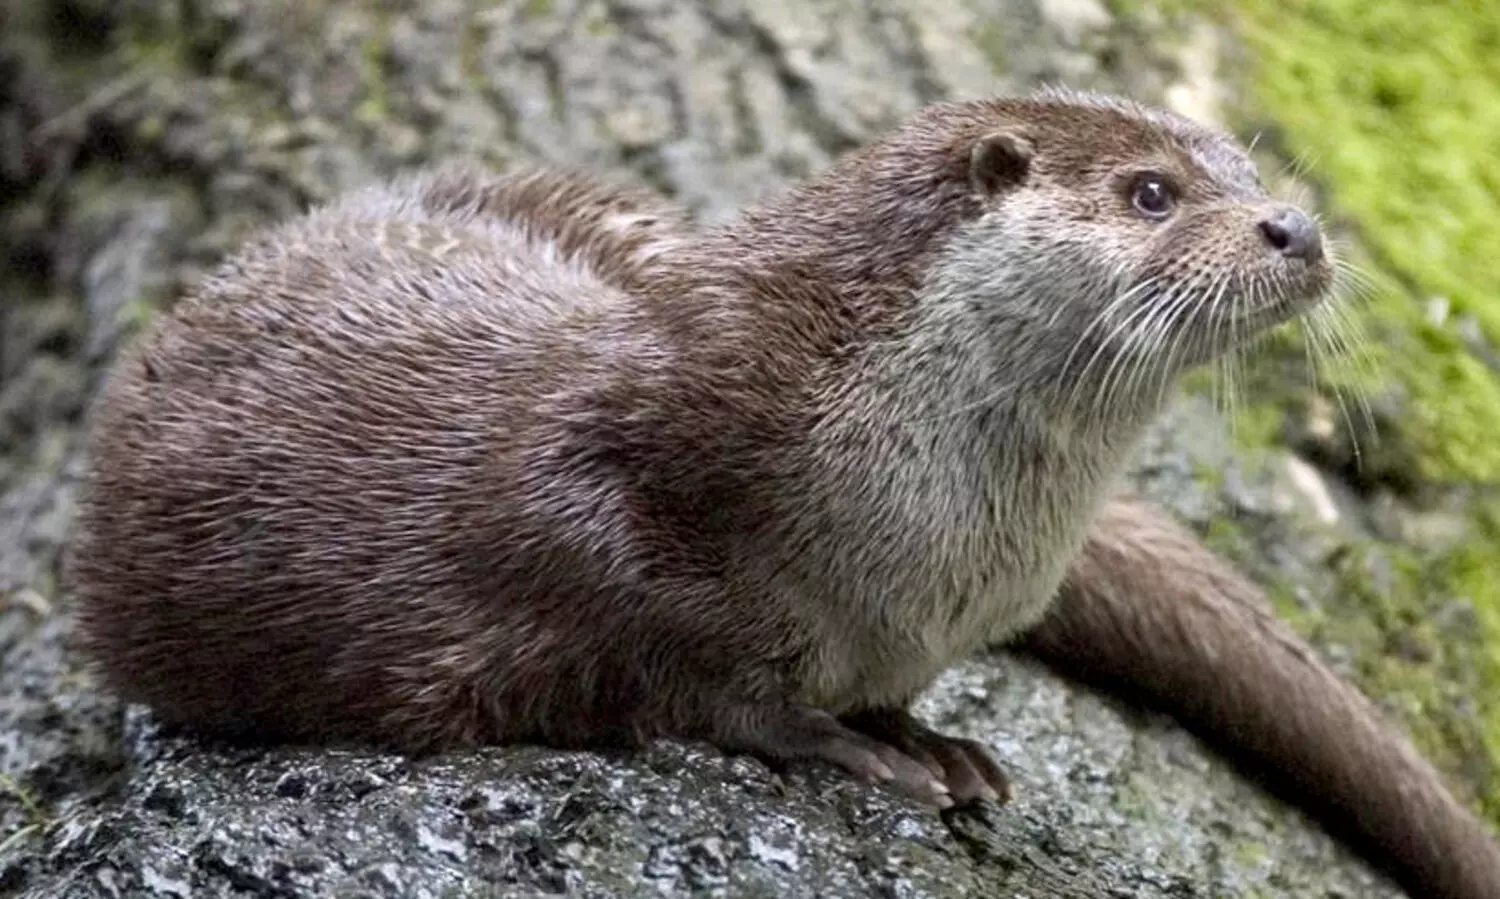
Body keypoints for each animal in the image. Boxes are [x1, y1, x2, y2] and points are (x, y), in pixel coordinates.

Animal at [63, 87, 1500, 898]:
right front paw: (851, 743)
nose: (1297, 228)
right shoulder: (619, 487)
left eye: (1253, 173)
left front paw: (929, 733)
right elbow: (683, 656)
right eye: (1153, 192)